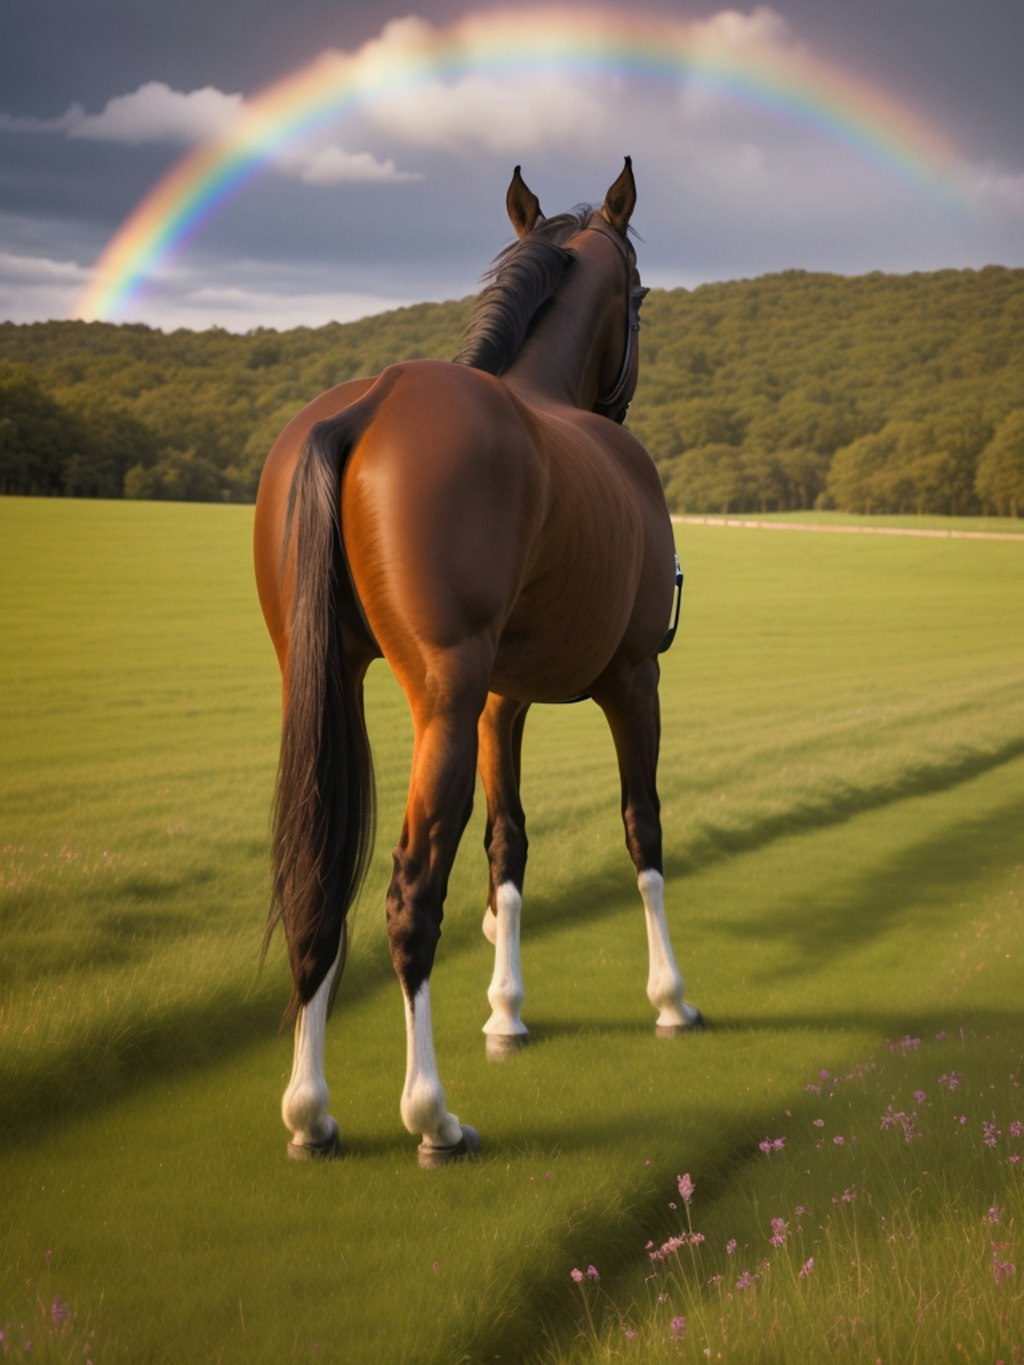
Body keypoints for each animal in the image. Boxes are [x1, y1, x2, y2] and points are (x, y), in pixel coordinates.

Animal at [255, 156, 704, 1162]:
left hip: (331, 686)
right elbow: (643, 829)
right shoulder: (636, 682)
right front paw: (671, 998)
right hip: (447, 704)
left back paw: (310, 1110)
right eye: (642, 295)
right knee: (410, 892)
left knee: (319, 882)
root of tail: (371, 403)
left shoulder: (505, 702)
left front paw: (507, 1009)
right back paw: (432, 1114)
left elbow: (510, 845)